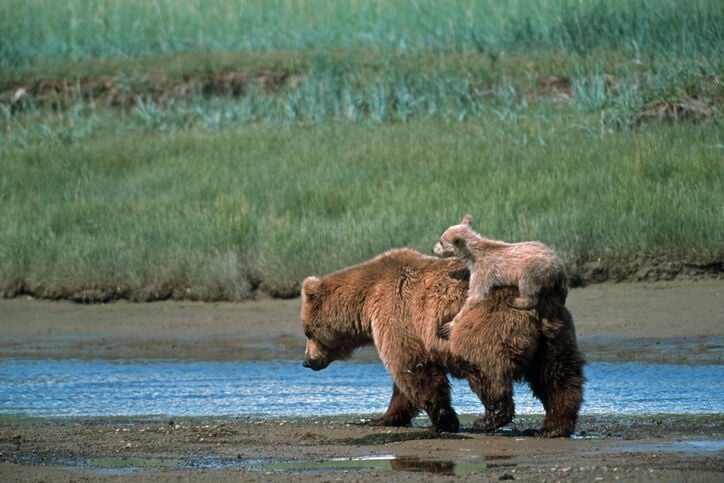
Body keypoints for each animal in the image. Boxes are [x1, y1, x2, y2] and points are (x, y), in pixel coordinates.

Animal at [300, 250, 584, 438]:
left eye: (307, 331)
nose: (306, 361)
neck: (366, 299)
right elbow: (404, 383)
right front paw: (381, 418)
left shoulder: (396, 315)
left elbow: (413, 370)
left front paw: (443, 421)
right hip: (553, 332)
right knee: (557, 376)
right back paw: (554, 426)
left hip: (486, 323)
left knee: (485, 371)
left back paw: (489, 419)